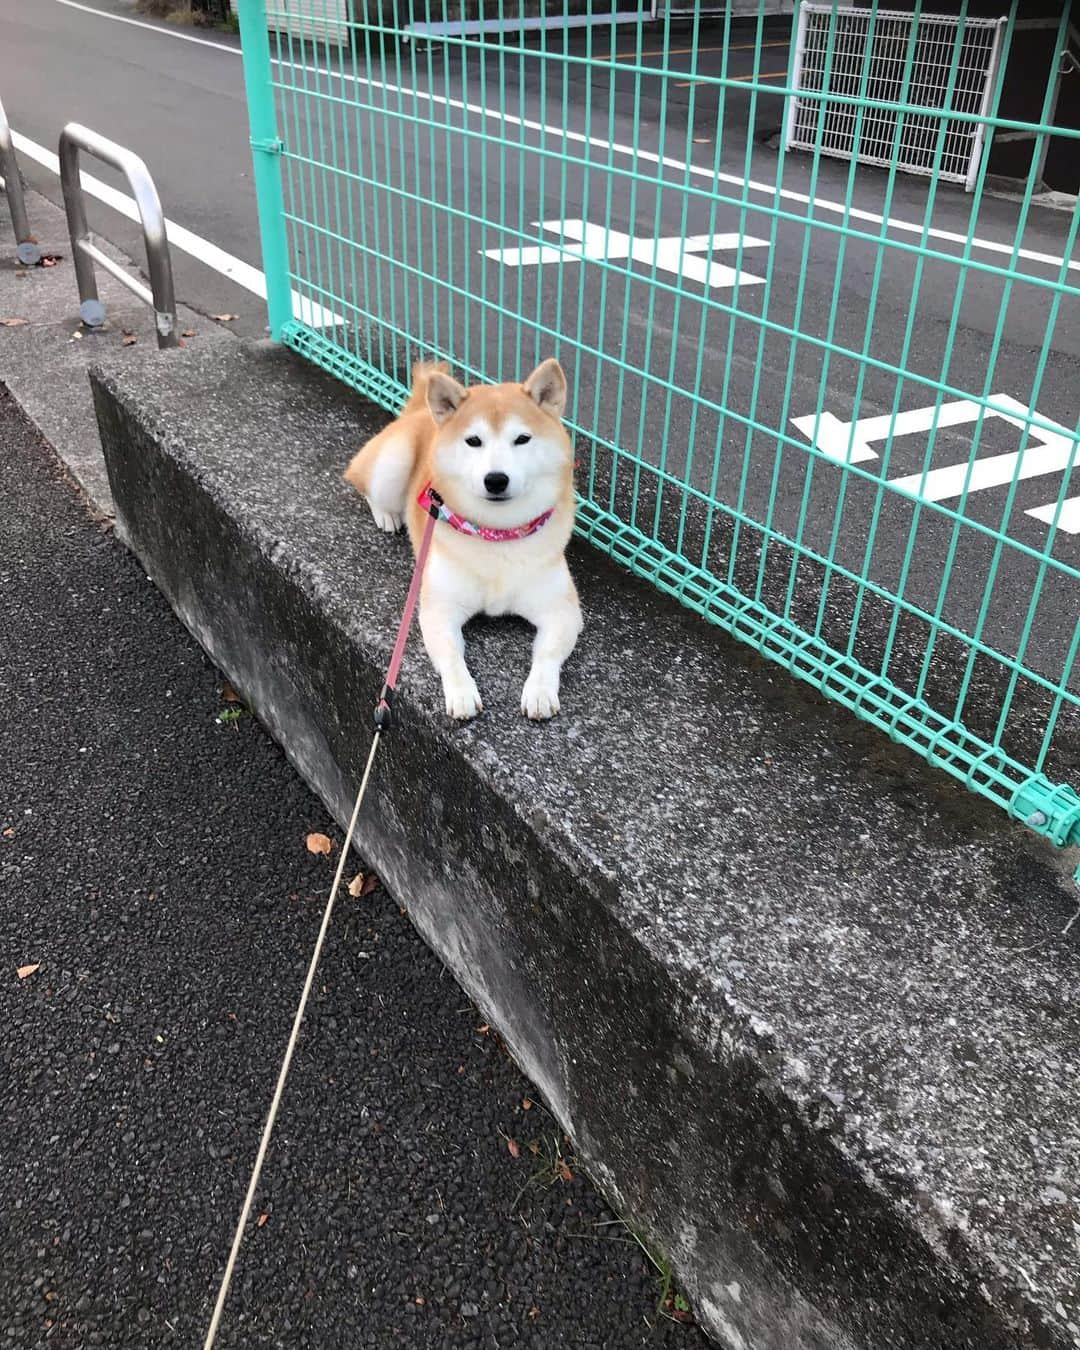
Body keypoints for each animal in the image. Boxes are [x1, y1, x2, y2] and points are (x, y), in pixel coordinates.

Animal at [344, 356, 583, 718]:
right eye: (474, 441)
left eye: (522, 439)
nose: (496, 479)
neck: (498, 534)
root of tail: (422, 411)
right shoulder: (439, 608)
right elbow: (451, 654)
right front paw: (461, 693)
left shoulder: (561, 609)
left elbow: (547, 653)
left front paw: (540, 692)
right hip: (393, 462)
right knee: (369, 488)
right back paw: (388, 515)